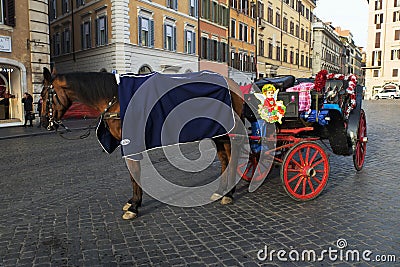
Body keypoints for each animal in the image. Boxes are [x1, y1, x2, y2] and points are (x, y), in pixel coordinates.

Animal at [42, 67, 245, 220]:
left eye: (44, 95)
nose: (44, 122)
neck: (115, 98)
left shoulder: (131, 143)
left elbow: (134, 172)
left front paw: (134, 206)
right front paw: (134, 202)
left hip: (230, 132)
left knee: (233, 158)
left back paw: (229, 193)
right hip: (218, 133)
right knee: (224, 159)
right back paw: (221, 190)